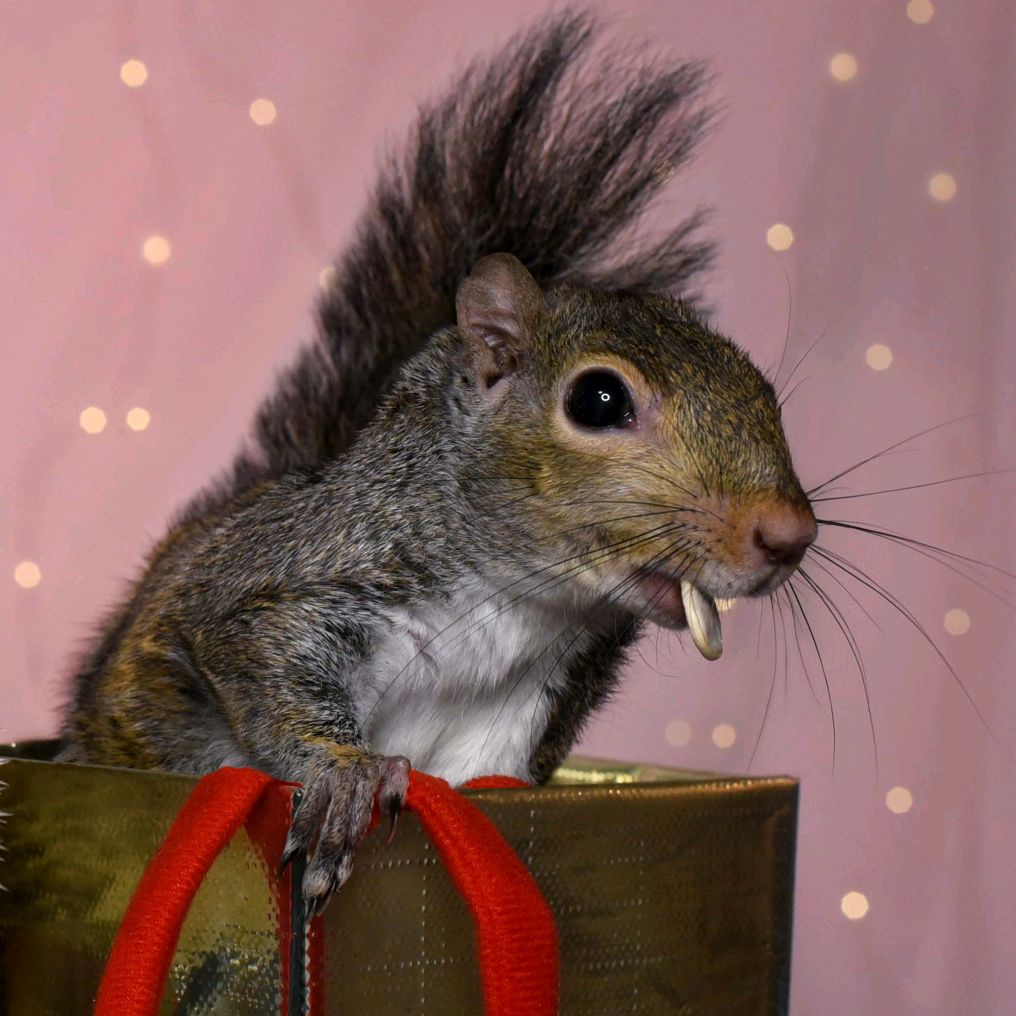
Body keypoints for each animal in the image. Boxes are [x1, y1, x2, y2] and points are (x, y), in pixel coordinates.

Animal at [58, 13, 817, 913]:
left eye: (765, 392)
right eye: (598, 399)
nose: (789, 534)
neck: (521, 603)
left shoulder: (522, 709)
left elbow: (486, 784)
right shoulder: (286, 582)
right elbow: (262, 656)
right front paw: (344, 775)